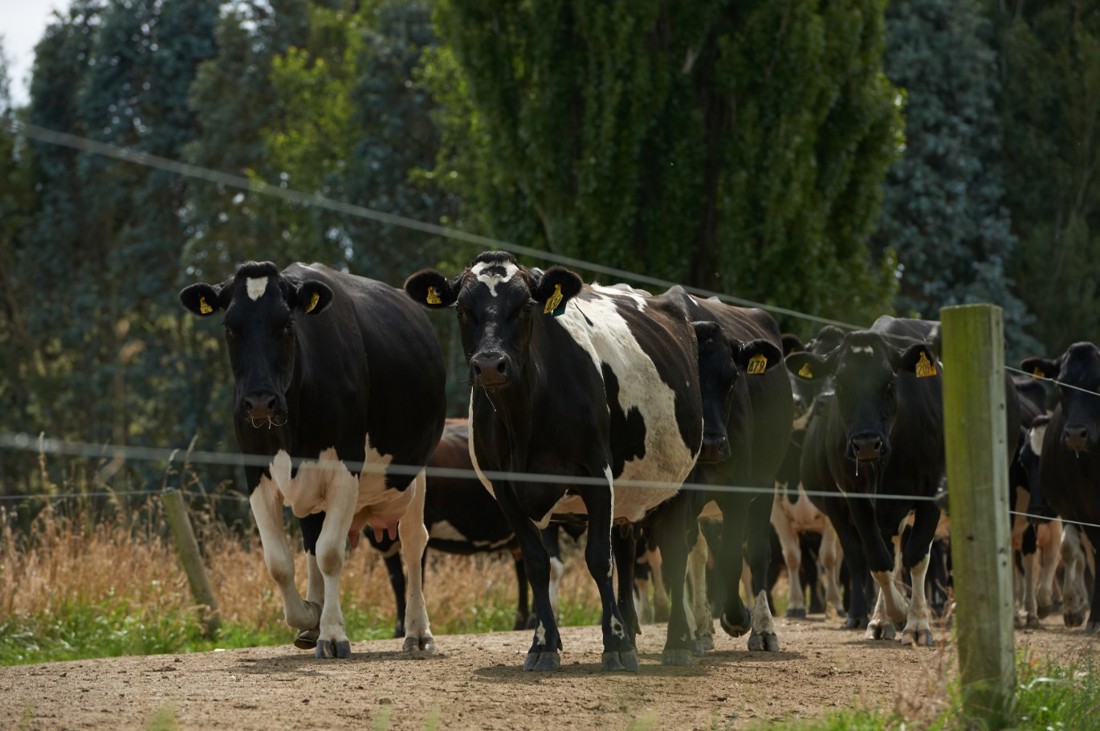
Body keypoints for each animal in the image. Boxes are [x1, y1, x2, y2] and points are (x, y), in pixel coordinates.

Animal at [180, 261, 446, 658]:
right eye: (229, 326)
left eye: (287, 324)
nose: (259, 401)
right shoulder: (256, 473)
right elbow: (279, 563)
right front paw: (310, 615)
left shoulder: (346, 468)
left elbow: (331, 554)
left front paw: (332, 633)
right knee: (310, 542)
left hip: (415, 472)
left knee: (413, 542)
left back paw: (418, 632)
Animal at [365, 419, 533, 636]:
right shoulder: (386, 544)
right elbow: (397, 581)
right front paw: (399, 630)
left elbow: (415, 576)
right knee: (522, 571)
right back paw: (522, 623)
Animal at [404, 251, 704, 671]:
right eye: (462, 308)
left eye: (526, 306)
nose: (490, 364)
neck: (524, 418)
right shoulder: (506, 491)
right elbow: (537, 563)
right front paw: (544, 643)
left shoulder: (597, 476)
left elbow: (598, 558)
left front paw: (615, 645)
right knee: (627, 554)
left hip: (680, 483)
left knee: (674, 556)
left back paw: (676, 641)